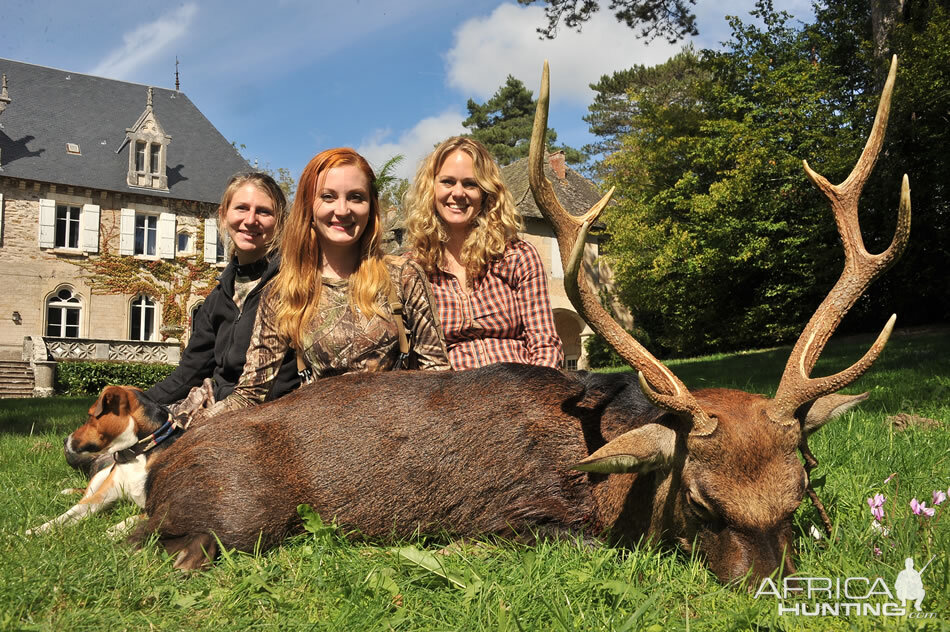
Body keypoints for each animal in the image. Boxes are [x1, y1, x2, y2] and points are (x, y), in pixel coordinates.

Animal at [132, 55, 908, 584]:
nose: (766, 588)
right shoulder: (526, 512)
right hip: (237, 515)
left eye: (799, 494)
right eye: (700, 501)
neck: (613, 489)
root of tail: (158, 473)